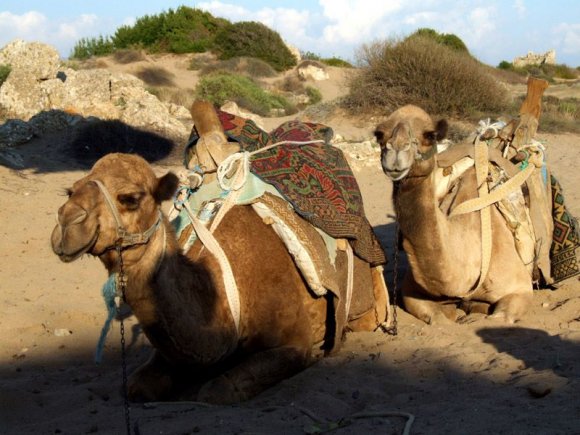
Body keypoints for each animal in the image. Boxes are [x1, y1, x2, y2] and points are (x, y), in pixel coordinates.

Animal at [49, 120, 386, 406]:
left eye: (130, 198)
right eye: (70, 189)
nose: (66, 226)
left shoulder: (294, 343)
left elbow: (217, 391)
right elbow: (136, 385)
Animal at [374, 104, 532, 324]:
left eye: (430, 135)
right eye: (379, 134)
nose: (396, 152)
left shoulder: (520, 289)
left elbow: (497, 318)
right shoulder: (412, 293)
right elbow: (437, 319)